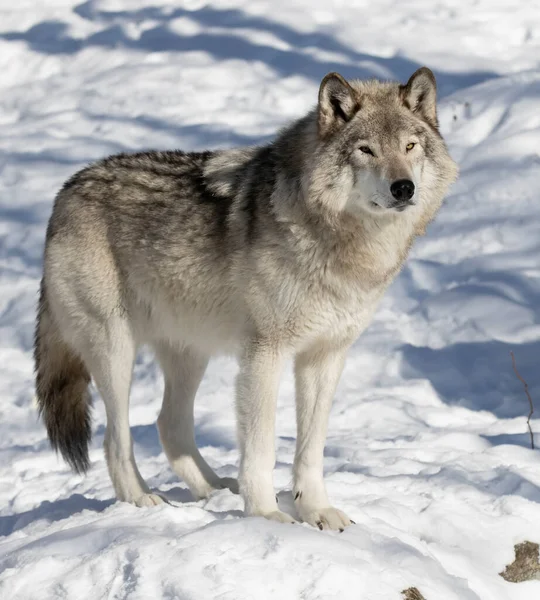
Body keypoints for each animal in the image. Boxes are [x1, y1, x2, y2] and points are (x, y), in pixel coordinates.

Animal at [32, 68, 456, 532]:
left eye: (409, 146)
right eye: (366, 150)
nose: (403, 188)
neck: (342, 244)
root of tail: (65, 192)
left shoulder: (325, 356)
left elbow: (311, 448)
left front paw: (316, 511)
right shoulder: (264, 354)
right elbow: (261, 447)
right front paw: (266, 514)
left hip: (189, 353)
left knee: (169, 425)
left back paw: (215, 489)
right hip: (115, 352)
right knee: (116, 439)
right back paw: (143, 500)